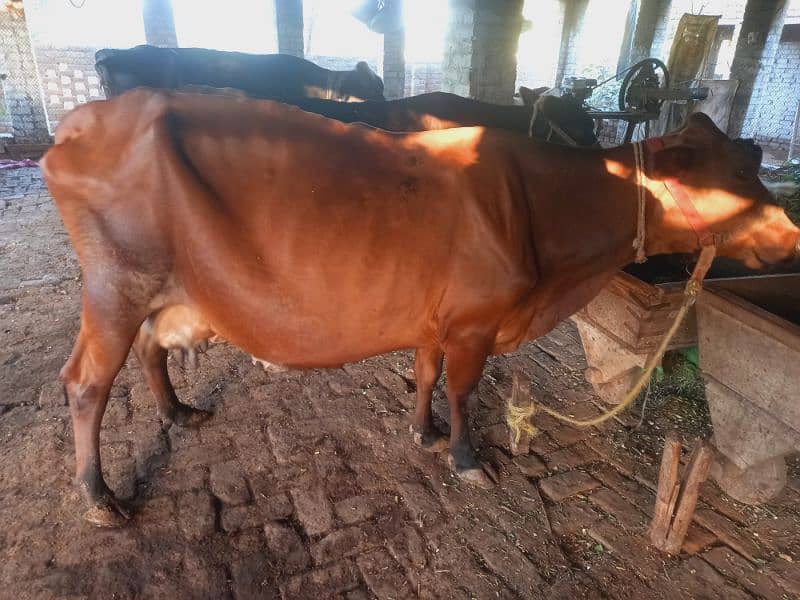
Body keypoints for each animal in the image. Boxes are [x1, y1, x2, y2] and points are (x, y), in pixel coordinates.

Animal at [40, 89, 796, 524]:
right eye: (739, 170)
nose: (793, 234)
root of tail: (78, 124)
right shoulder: (476, 321)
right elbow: (462, 390)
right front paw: (466, 458)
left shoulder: (440, 320)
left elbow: (428, 375)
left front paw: (422, 432)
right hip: (115, 284)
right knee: (86, 384)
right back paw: (99, 498)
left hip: (160, 291)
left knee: (149, 349)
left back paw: (177, 413)